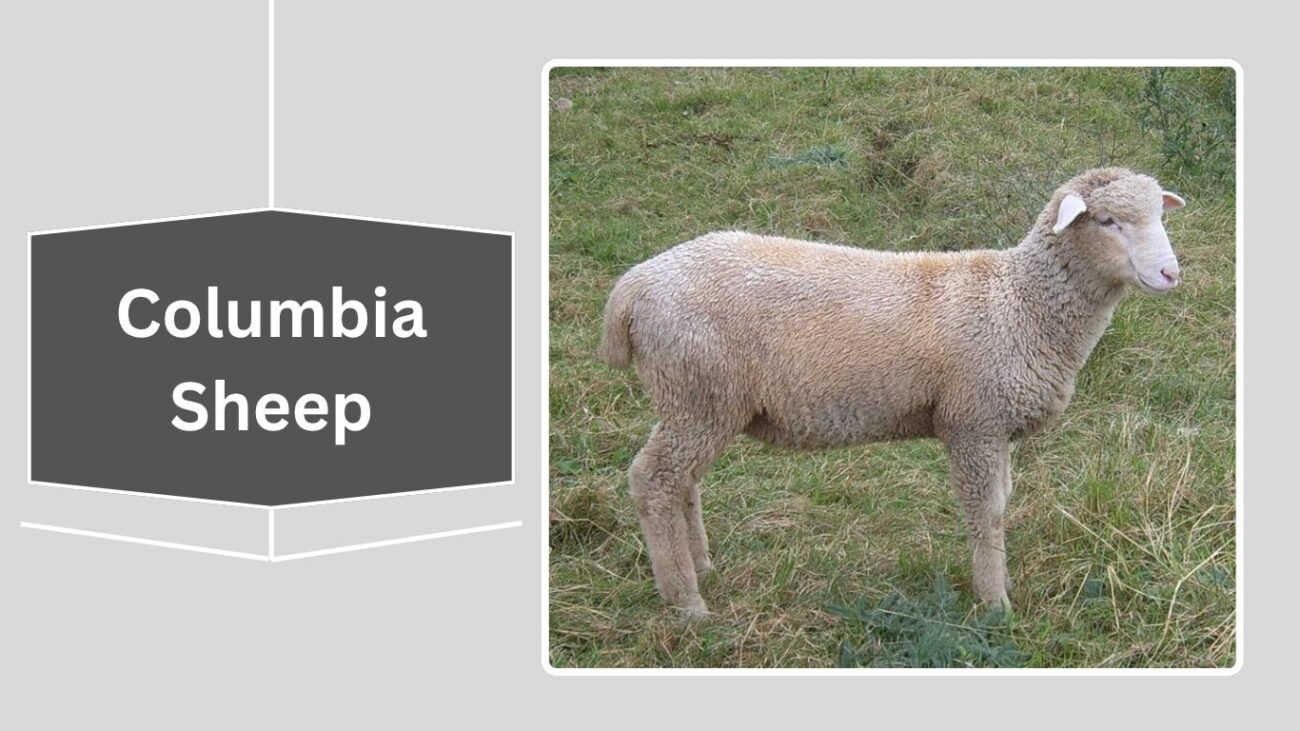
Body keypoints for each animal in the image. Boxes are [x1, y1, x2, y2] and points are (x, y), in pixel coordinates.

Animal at [599, 167, 1186, 617]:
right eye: (1108, 221)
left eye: (1160, 217)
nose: (1169, 273)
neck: (1019, 302)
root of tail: (633, 288)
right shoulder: (973, 422)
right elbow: (986, 511)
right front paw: (994, 603)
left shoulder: (993, 427)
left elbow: (1001, 505)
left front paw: (999, 585)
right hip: (698, 393)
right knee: (653, 481)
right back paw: (686, 602)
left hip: (694, 399)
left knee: (682, 481)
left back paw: (700, 565)